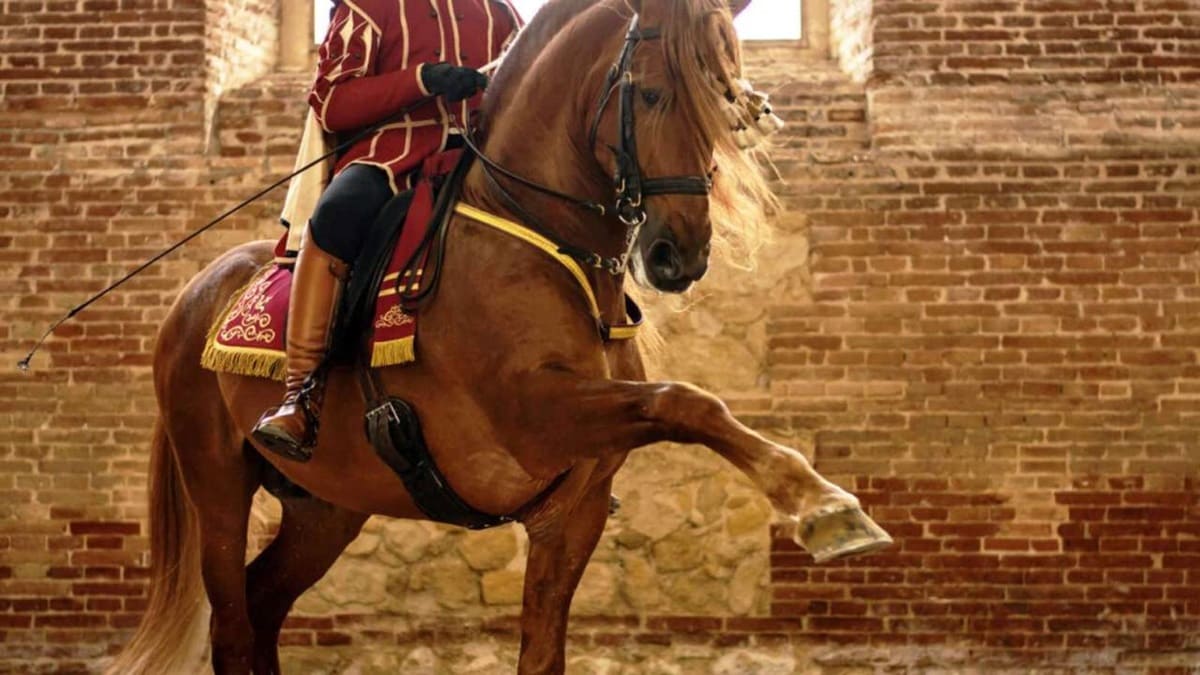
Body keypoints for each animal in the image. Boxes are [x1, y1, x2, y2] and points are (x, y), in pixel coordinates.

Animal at [107, 0, 892, 673]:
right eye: (648, 95)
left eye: (726, 97)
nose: (680, 254)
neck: (538, 236)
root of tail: (194, 297)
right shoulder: (535, 414)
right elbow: (686, 401)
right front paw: (821, 502)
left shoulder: (572, 510)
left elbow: (542, 650)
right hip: (217, 485)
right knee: (234, 626)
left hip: (326, 507)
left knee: (264, 605)